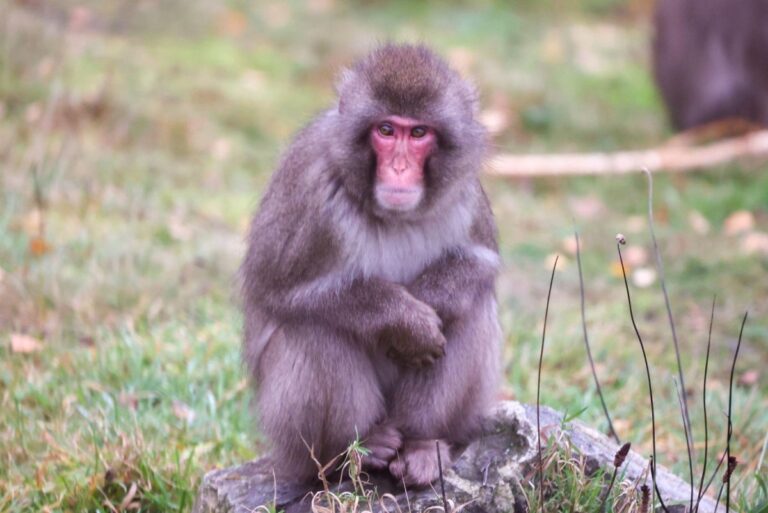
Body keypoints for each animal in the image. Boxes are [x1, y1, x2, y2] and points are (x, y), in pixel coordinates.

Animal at [240, 44, 501, 487]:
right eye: (386, 130)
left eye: (418, 133)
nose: (398, 167)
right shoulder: (310, 189)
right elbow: (275, 288)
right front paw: (405, 321)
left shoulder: (463, 193)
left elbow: (481, 263)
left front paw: (430, 301)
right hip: (293, 443)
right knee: (314, 328)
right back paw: (353, 451)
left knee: (471, 309)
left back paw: (420, 442)